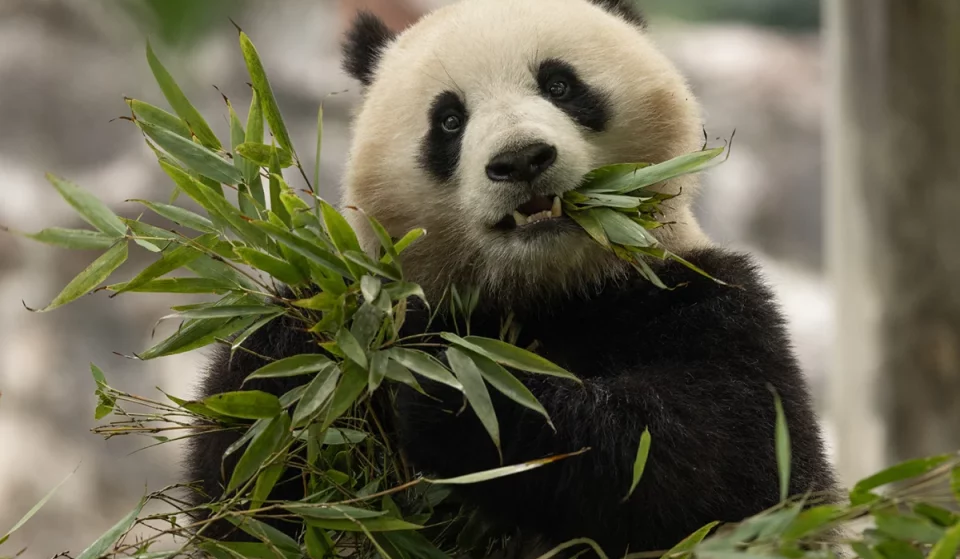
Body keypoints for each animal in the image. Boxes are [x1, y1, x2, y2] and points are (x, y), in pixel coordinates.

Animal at [186, 0, 838, 556]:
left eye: (560, 85)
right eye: (449, 119)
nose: (522, 159)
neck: (546, 289)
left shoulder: (703, 299)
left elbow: (726, 465)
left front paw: (455, 390)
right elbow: (246, 498)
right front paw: (306, 347)